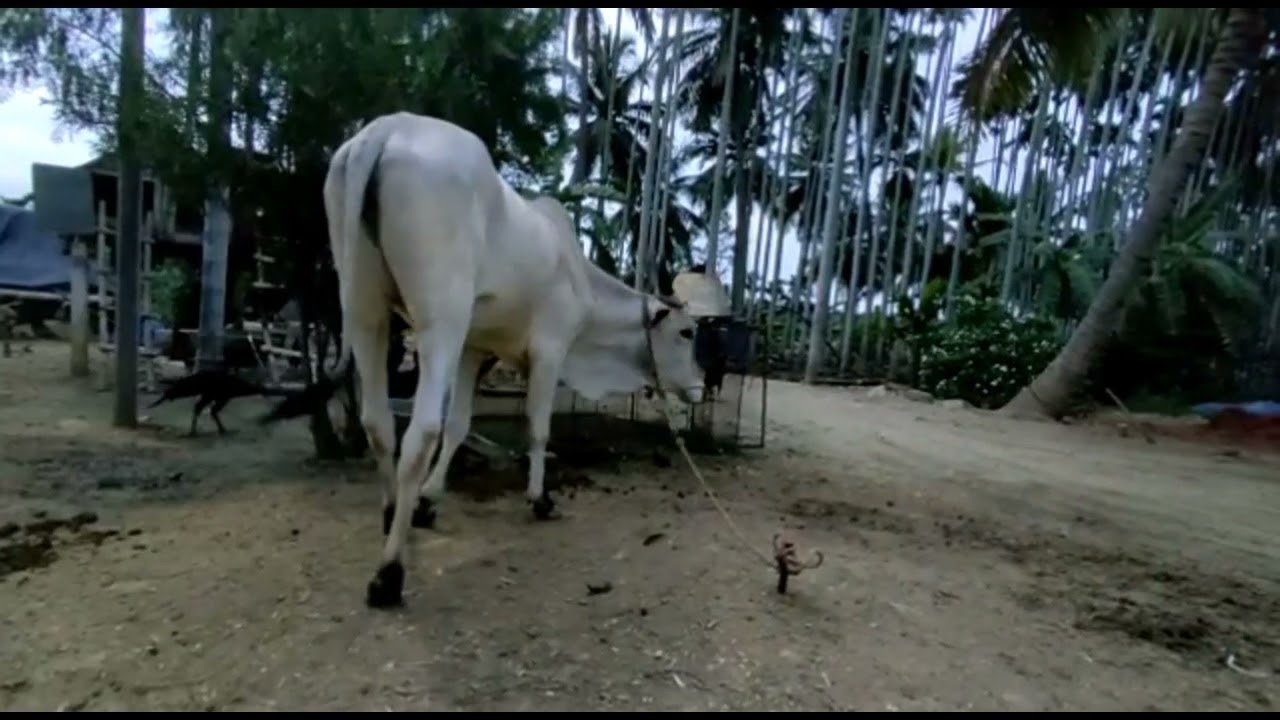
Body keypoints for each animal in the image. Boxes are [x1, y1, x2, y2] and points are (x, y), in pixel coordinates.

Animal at [316, 112, 704, 609]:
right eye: (687, 332)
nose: (698, 388)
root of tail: (386, 130)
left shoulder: (473, 349)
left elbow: (460, 426)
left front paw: (428, 500)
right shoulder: (549, 351)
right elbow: (537, 429)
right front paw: (539, 498)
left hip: (366, 312)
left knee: (378, 422)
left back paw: (390, 516)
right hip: (440, 320)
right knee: (419, 433)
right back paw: (389, 573)